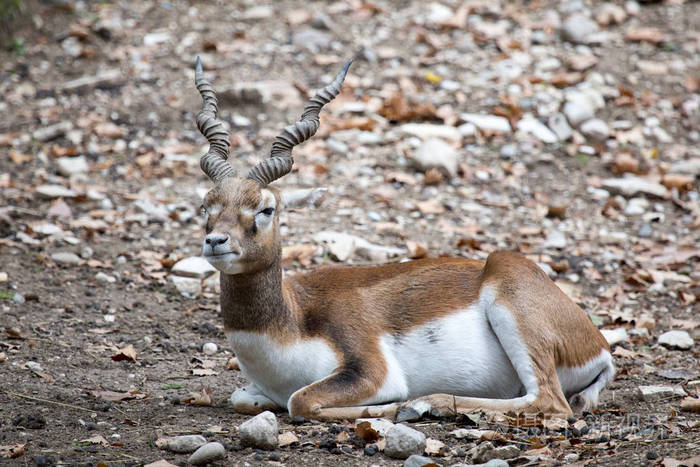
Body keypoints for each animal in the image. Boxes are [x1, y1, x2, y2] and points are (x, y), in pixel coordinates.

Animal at [191, 57, 612, 420]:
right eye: (206, 205)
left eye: (266, 209)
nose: (216, 242)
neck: (292, 321)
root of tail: (599, 345)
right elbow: (242, 397)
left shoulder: (371, 371)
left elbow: (301, 401)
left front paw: (396, 406)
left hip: (511, 297)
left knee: (550, 401)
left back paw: (427, 403)